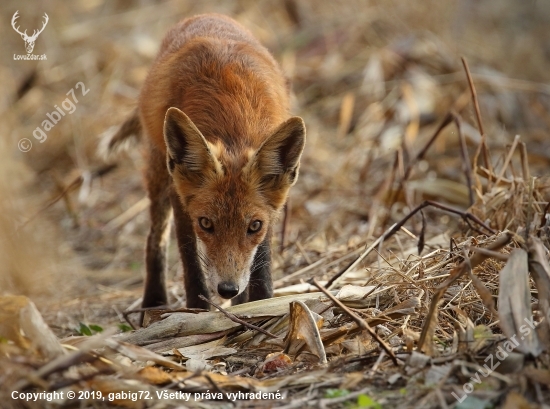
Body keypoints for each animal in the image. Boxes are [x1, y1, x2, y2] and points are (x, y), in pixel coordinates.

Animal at [108, 13, 306, 312]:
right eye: (206, 224)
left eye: (254, 226)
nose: (227, 289)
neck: (233, 122)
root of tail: (207, 15)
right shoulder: (181, 198)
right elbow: (191, 263)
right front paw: (198, 310)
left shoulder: (270, 212)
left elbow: (262, 266)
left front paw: (260, 305)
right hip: (159, 174)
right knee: (155, 240)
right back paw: (153, 303)